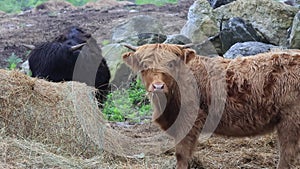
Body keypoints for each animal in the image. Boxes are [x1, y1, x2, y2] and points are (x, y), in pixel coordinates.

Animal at [122, 44, 300, 169]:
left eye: (171, 64)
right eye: (144, 65)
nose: (158, 86)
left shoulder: (189, 122)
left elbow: (182, 155)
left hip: (290, 120)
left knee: (287, 153)